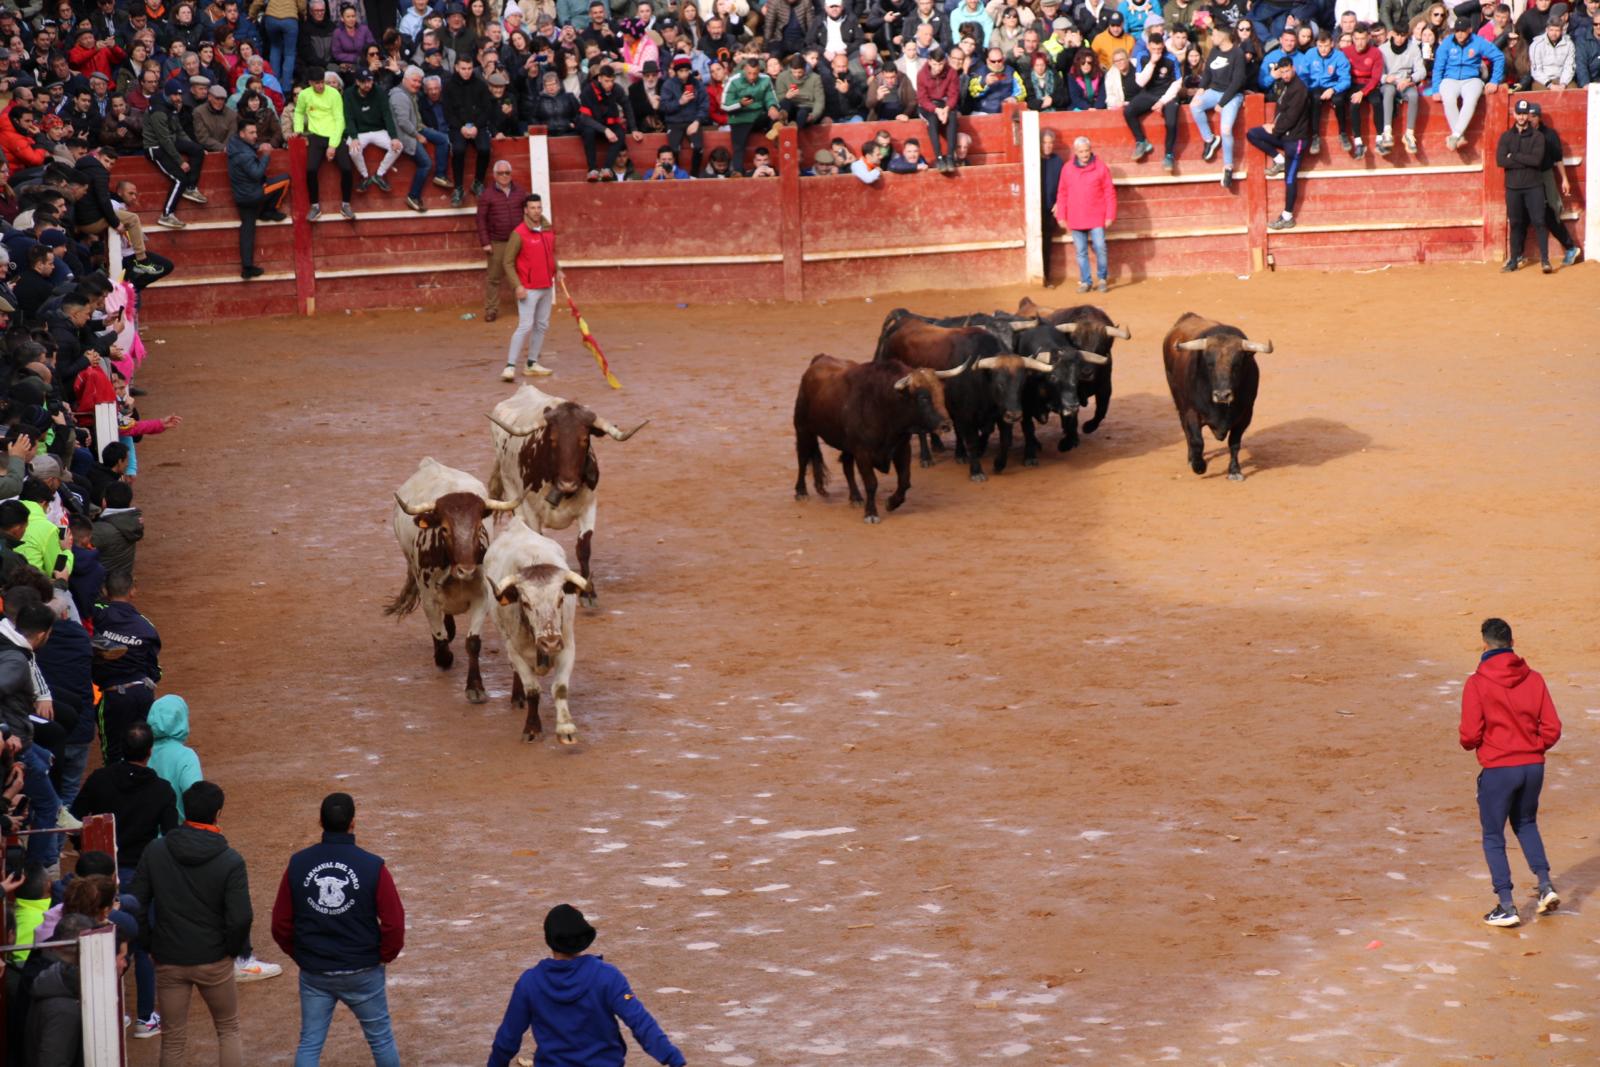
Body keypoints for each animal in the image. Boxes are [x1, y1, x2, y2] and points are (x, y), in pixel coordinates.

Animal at [796, 356, 966, 524]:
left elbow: (905, 481)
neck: (882, 406)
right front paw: (871, 513)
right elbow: (871, 483)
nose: (946, 425)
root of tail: (819, 359)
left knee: (847, 466)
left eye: (942, 392)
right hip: (803, 430)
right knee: (803, 460)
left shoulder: (902, 448)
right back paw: (801, 492)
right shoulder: (863, 453)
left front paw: (891, 503)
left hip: (845, 445)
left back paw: (855, 498)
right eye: (923, 397)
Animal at [1164, 310, 1273, 483]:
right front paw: (1198, 465)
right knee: (1186, 432)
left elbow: (1234, 443)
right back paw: (1191, 458)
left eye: (1236, 365)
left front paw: (1234, 471)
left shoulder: (1245, 415)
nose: (1222, 395)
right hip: (1179, 403)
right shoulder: (1191, 412)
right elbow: (1196, 440)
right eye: (1209, 364)